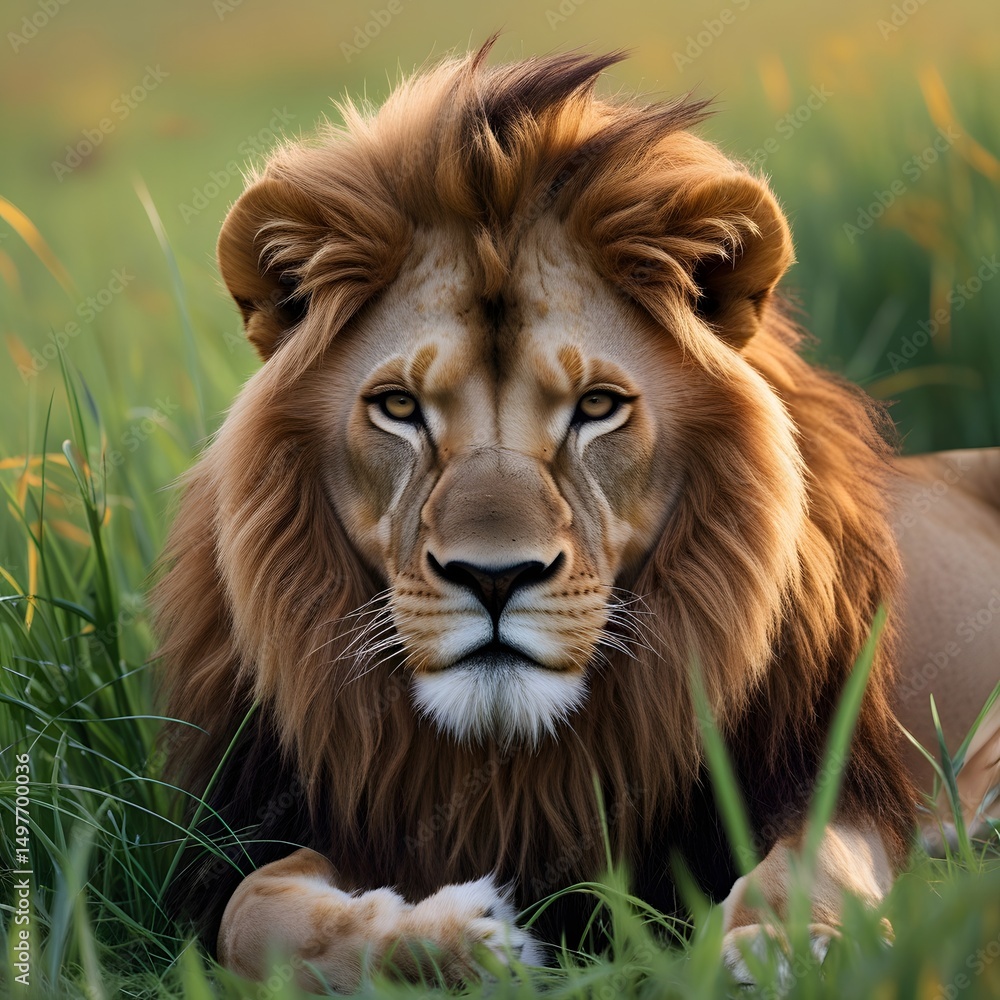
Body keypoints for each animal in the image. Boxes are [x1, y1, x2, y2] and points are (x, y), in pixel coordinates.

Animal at [154, 43, 1000, 991]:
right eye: (399, 407)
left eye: (597, 406)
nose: (494, 578)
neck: (516, 760)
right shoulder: (303, 815)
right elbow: (251, 914)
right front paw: (461, 940)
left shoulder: (825, 774)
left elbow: (806, 866)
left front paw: (783, 948)